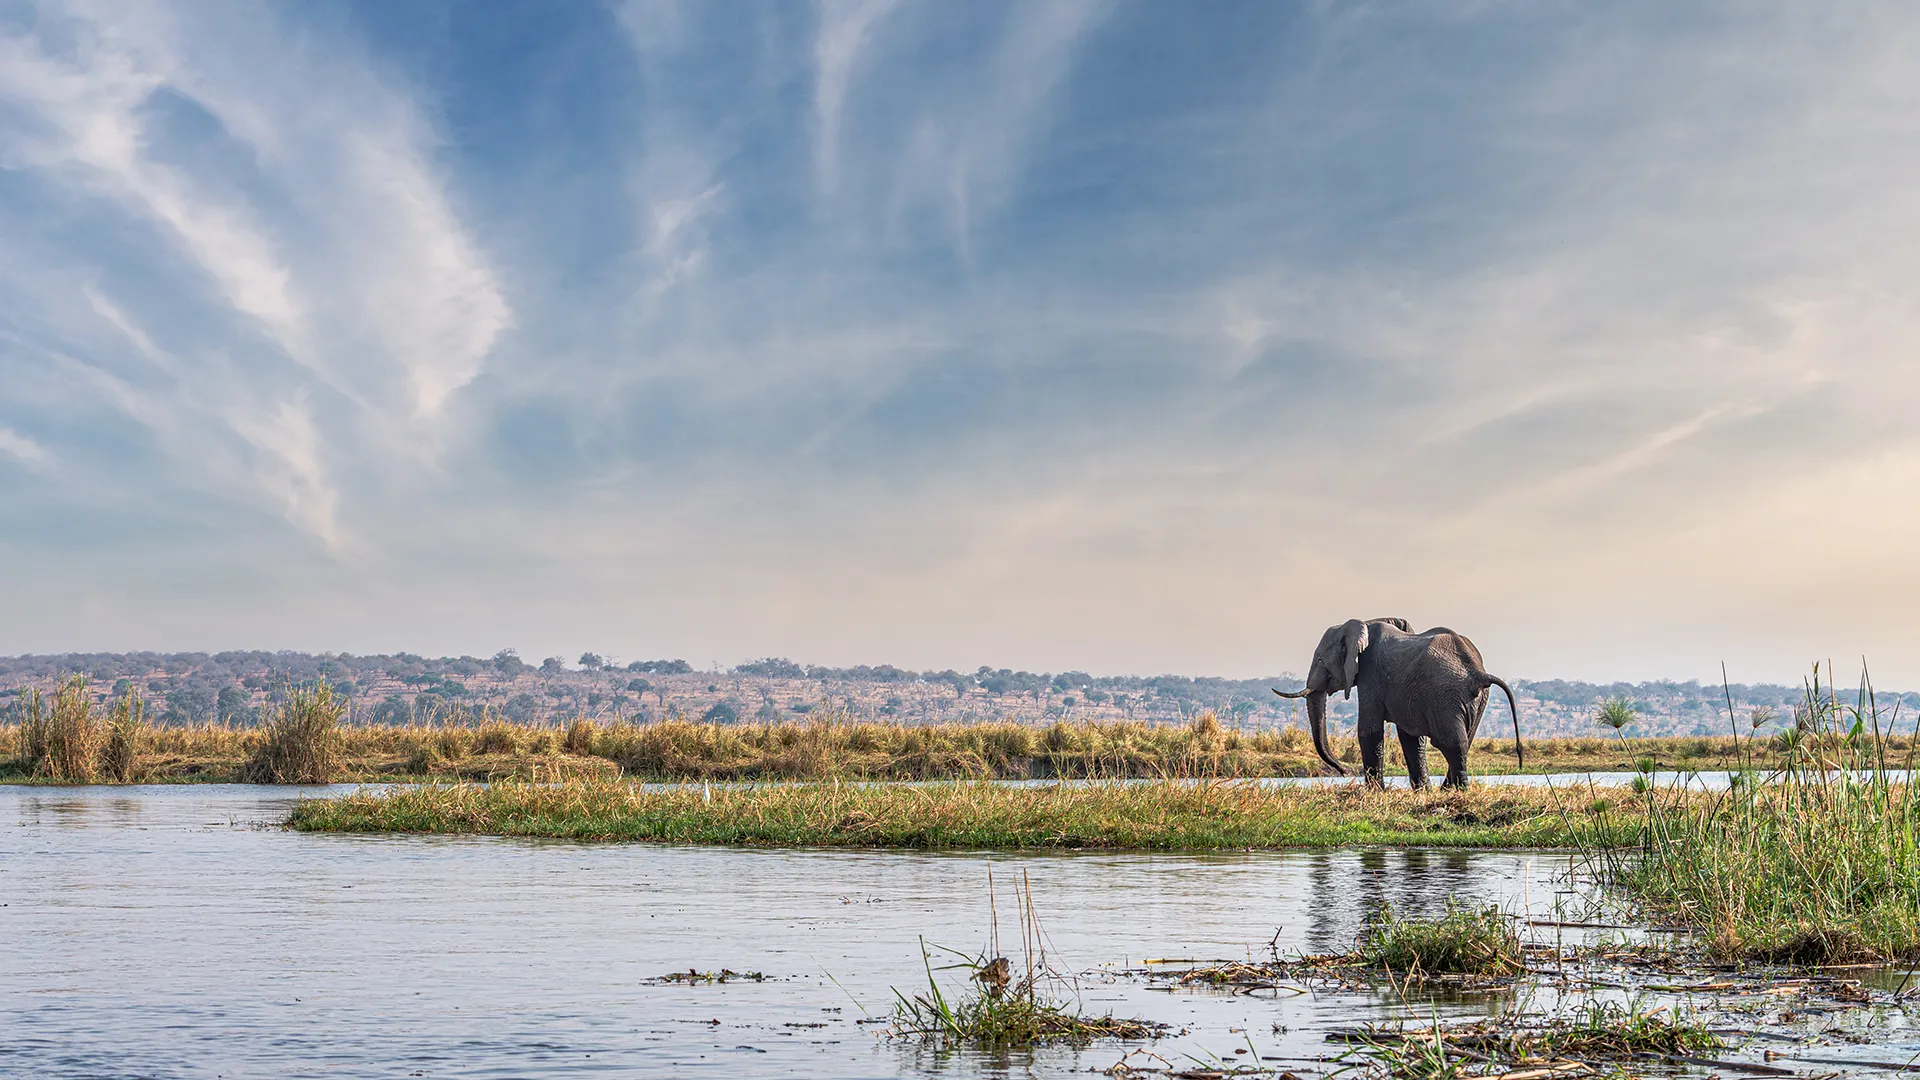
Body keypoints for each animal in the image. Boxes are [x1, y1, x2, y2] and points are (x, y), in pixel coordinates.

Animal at [1273, 618, 1521, 788]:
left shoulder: (1371, 675)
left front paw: (1375, 792)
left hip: (1446, 695)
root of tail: (1478, 672)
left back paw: (1456, 790)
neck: (1361, 624)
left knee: (1452, 742)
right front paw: (1422, 791)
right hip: (1475, 700)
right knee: (1464, 741)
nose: (1344, 772)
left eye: (1320, 659)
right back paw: (1447, 790)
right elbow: (1410, 737)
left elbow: (1369, 730)